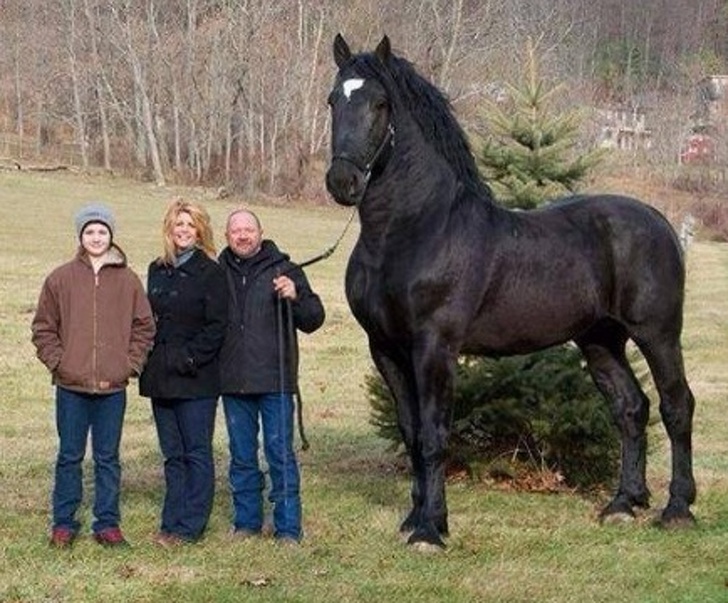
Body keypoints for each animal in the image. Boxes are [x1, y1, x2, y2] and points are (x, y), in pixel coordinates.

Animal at [328, 35, 696, 548]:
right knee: (631, 408)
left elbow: (434, 435)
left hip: (657, 333)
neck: (412, 230)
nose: (342, 182)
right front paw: (415, 517)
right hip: (600, 340)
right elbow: (410, 432)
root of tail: (658, 220)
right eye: (333, 101)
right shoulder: (385, 348)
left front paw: (431, 530)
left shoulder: (434, 347)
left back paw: (678, 508)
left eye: (380, 104)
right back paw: (624, 504)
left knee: (676, 405)